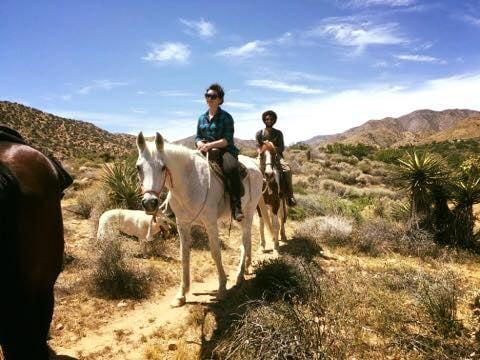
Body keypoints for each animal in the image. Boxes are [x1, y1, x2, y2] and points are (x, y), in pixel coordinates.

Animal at [137, 132, 272, 306]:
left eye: (162, 167)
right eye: (138, 167)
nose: (150, 203)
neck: (190, 183)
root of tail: (255, 165)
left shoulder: (210, 223)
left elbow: (215, 253)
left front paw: (222, 288)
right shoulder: (182, 224)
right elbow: (184, 255)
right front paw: (181, 294)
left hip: (248, 213)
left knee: (245, 241)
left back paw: (239, 276)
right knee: (247, 241)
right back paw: (246, 268)